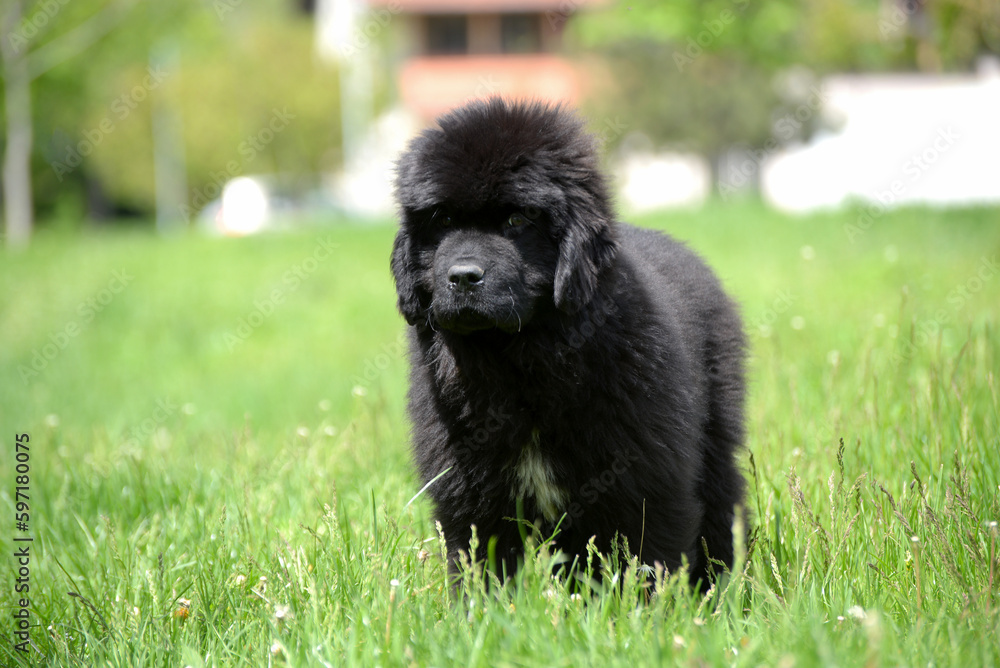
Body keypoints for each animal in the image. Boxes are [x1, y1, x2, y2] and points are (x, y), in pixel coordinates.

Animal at [388, 96, 744, 588]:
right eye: (443, 219)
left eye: (517, 219)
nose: (462, 277)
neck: (517, 367)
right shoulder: (469, 494)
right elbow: (482, 568)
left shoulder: (650, 480)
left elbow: (652, 558)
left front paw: (658, 608)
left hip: (716, 443)